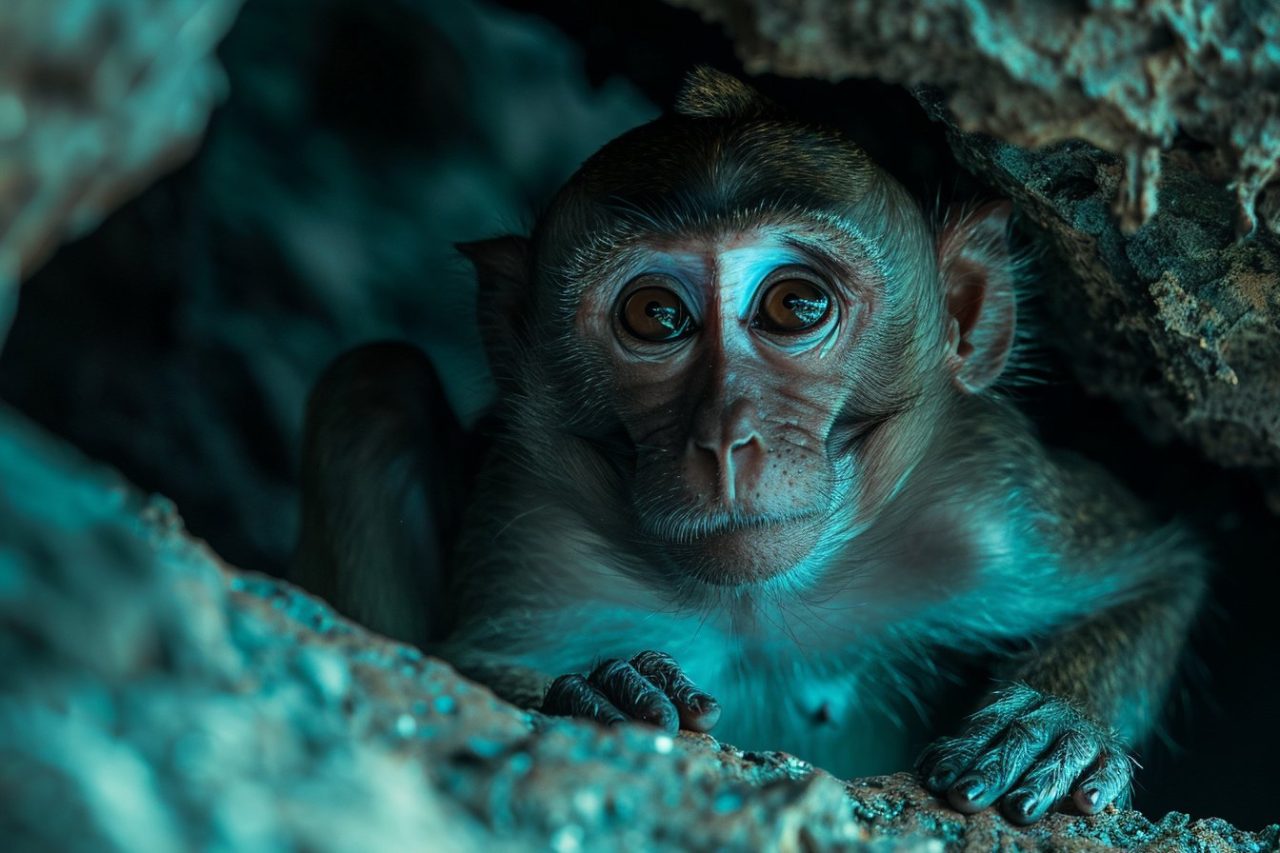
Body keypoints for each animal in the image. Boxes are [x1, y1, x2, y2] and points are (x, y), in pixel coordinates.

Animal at [292, 68, 1206, 825]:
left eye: (795, 304)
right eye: (656, 315)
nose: (726, 439)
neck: (756, 607)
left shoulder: (985, 500)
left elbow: (1156, 574)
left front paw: (1056, 724)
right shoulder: (531, 531)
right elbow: (449, 666)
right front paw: (603, 688)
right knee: (372, 383)